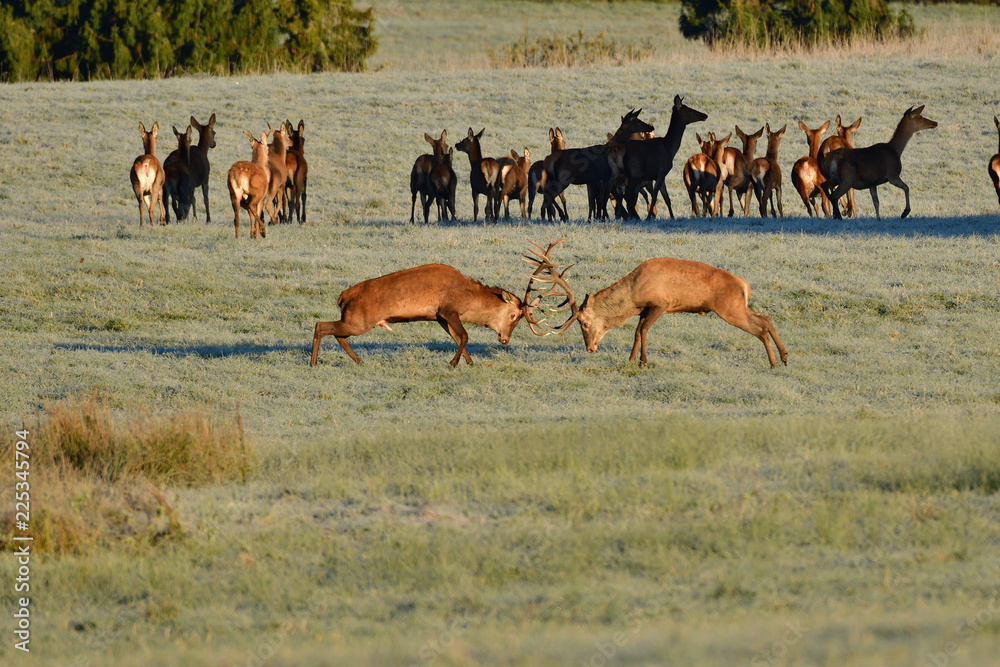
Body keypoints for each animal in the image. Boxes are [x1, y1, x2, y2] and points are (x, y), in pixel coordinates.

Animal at [310, 264, 528, 368]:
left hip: (355, 321)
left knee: (338, 335)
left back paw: (359, 361)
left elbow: (458, 338)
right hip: (358, 322)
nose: (505, 339)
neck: (471, 299)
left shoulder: (440, 317)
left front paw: (470, 362)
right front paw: (453, 363)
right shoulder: (448, 310)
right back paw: (313, 362)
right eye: (513, 315)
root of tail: (344, 296)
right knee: (321, 325)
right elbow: (465, 336)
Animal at [523, 243, 788, 369]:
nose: (589, 348)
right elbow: (636, 332)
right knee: (766, 319)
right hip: (739, 306)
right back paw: (784, 357)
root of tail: (745, 286)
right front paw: (632, 360)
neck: (634, 294)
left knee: (760, 329)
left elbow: (643, 330)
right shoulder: (645, 309)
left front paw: (643, 361)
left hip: (729, 308)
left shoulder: (660, 303)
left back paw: (774, 363)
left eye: (584, 323)